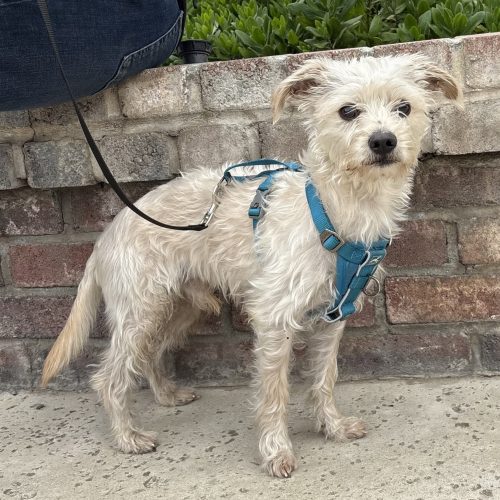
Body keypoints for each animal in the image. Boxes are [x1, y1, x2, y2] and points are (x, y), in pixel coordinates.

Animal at [41, 54, 461, 478]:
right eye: (347, 111)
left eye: (404, 108)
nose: (383, 140)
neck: (337, 209)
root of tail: (107, 235)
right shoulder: (275, 319)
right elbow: (274, 392)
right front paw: (276, 452)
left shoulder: (333, 317)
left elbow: (324, 377)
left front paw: (333, 427)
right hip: (139, 311)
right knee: (109, 377)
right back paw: (127, 437)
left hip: (181, 307)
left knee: (152, 353)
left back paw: (167, 395)